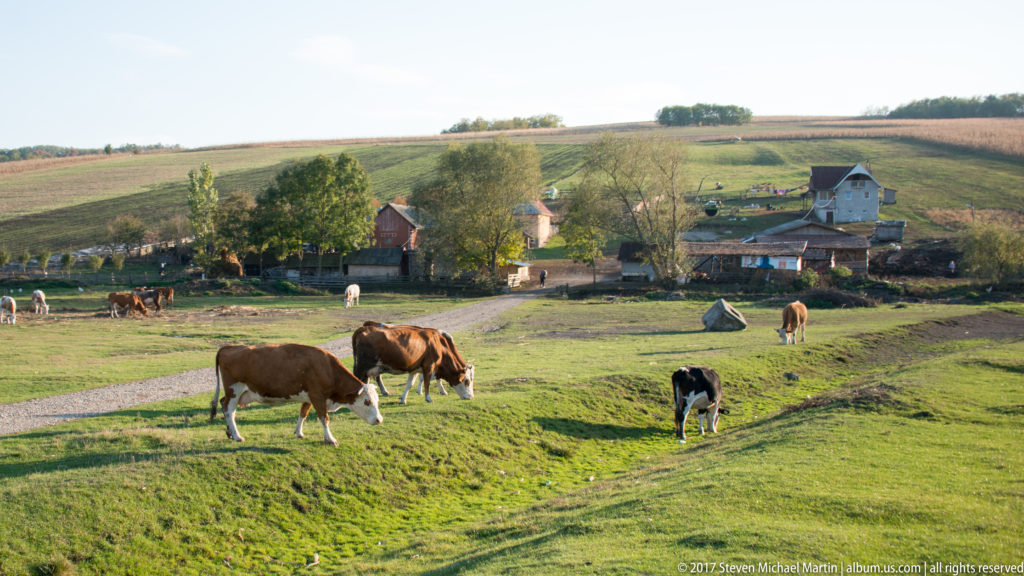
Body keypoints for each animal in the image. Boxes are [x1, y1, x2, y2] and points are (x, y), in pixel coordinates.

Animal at [209, 343, 382, 445]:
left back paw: (230, 432)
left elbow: (303, 413)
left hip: (237, 393)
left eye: (377, 401)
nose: (379, 420)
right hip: (234, 390)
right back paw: (237, 435)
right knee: (229, 410)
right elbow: (324, 418)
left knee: (223, 403)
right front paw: (330, 438)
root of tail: (230, 347)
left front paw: (299, 432)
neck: (327, 368)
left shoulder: (309, 396)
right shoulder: (317, 396)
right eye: (367, 402)